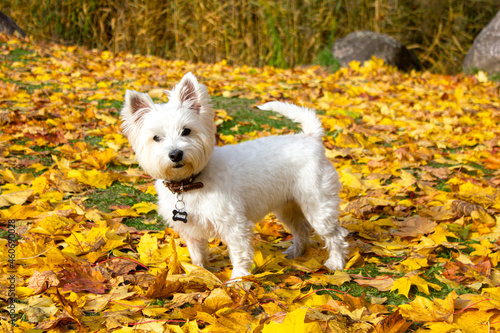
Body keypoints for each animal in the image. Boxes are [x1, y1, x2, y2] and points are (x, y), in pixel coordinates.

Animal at [120, 72, 348, 278]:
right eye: (156, 138)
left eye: (186, 131)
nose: (175, 154)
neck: (191, 183)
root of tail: (311, 137)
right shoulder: (191, 231)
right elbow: (197, 255)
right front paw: (199, 274)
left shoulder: (234, 225)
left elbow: (239, 254)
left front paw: (238, 281)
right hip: (288, 207)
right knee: (302, 230)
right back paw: (295, 253)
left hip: (317, 205)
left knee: (335, 234)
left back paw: (336, 262)